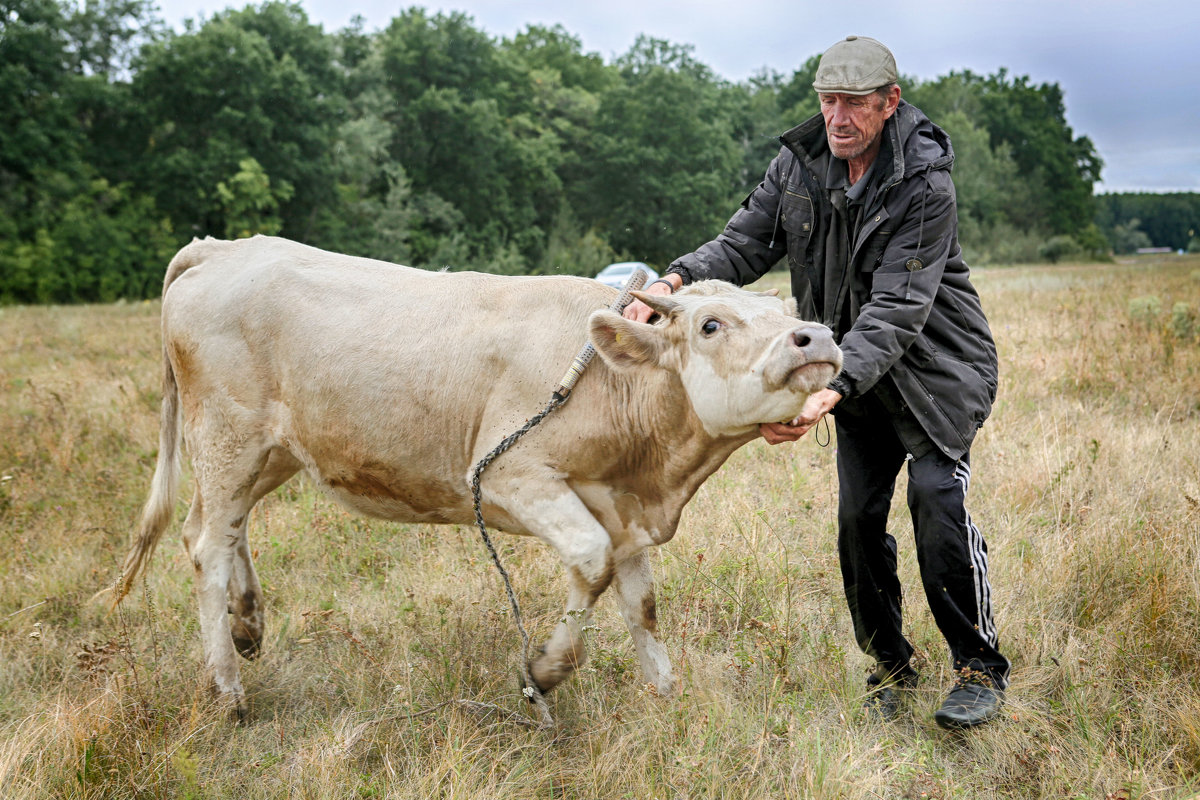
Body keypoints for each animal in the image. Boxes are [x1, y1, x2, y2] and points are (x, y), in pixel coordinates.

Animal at [112, 235, 844, 714]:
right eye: (711, 325)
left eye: (787, 314)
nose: (816, 337)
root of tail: (221, 246)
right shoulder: (508, 477)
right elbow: (591, 562)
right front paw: (542, 673)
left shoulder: (624, 508)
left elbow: (641, 604)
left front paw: (667, 697)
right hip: (227, 439)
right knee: (207, 544)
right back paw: (228, 690)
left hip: (269, 454)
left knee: (217, 529)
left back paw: (246, 624)